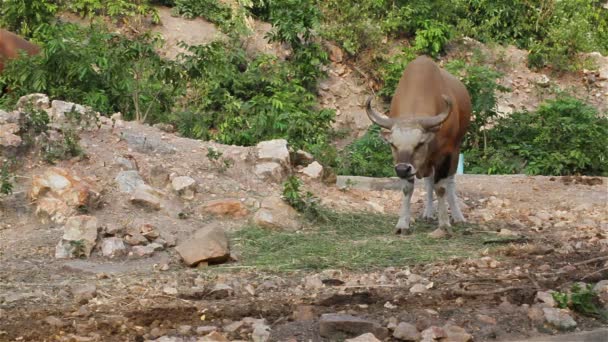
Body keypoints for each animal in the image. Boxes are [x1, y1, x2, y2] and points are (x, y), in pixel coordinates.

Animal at [364, 56, 472, 238]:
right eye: (393, 144)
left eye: (420, 143)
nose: (402, 169)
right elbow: (408, 189)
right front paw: (402, 224)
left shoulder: (445, 154)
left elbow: (441, 187)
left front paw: (444, 225)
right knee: (428, 181)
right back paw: (428, 213)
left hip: (455, 150)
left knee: (450, 182)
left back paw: (458, 216)